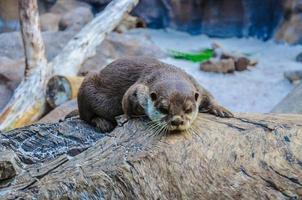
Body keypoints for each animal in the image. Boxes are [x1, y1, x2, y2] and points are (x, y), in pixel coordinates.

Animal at [78, 56, 234, 133]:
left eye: (188, 109)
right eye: (163, 109)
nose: (177, 121)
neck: (167, 72)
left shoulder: (197, 86)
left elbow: (208, 95)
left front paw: (221, 109)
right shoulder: (141, 86)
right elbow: (125, 101)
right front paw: (130, 115)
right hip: (87, 84)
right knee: (85, 116)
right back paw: (102, 122)